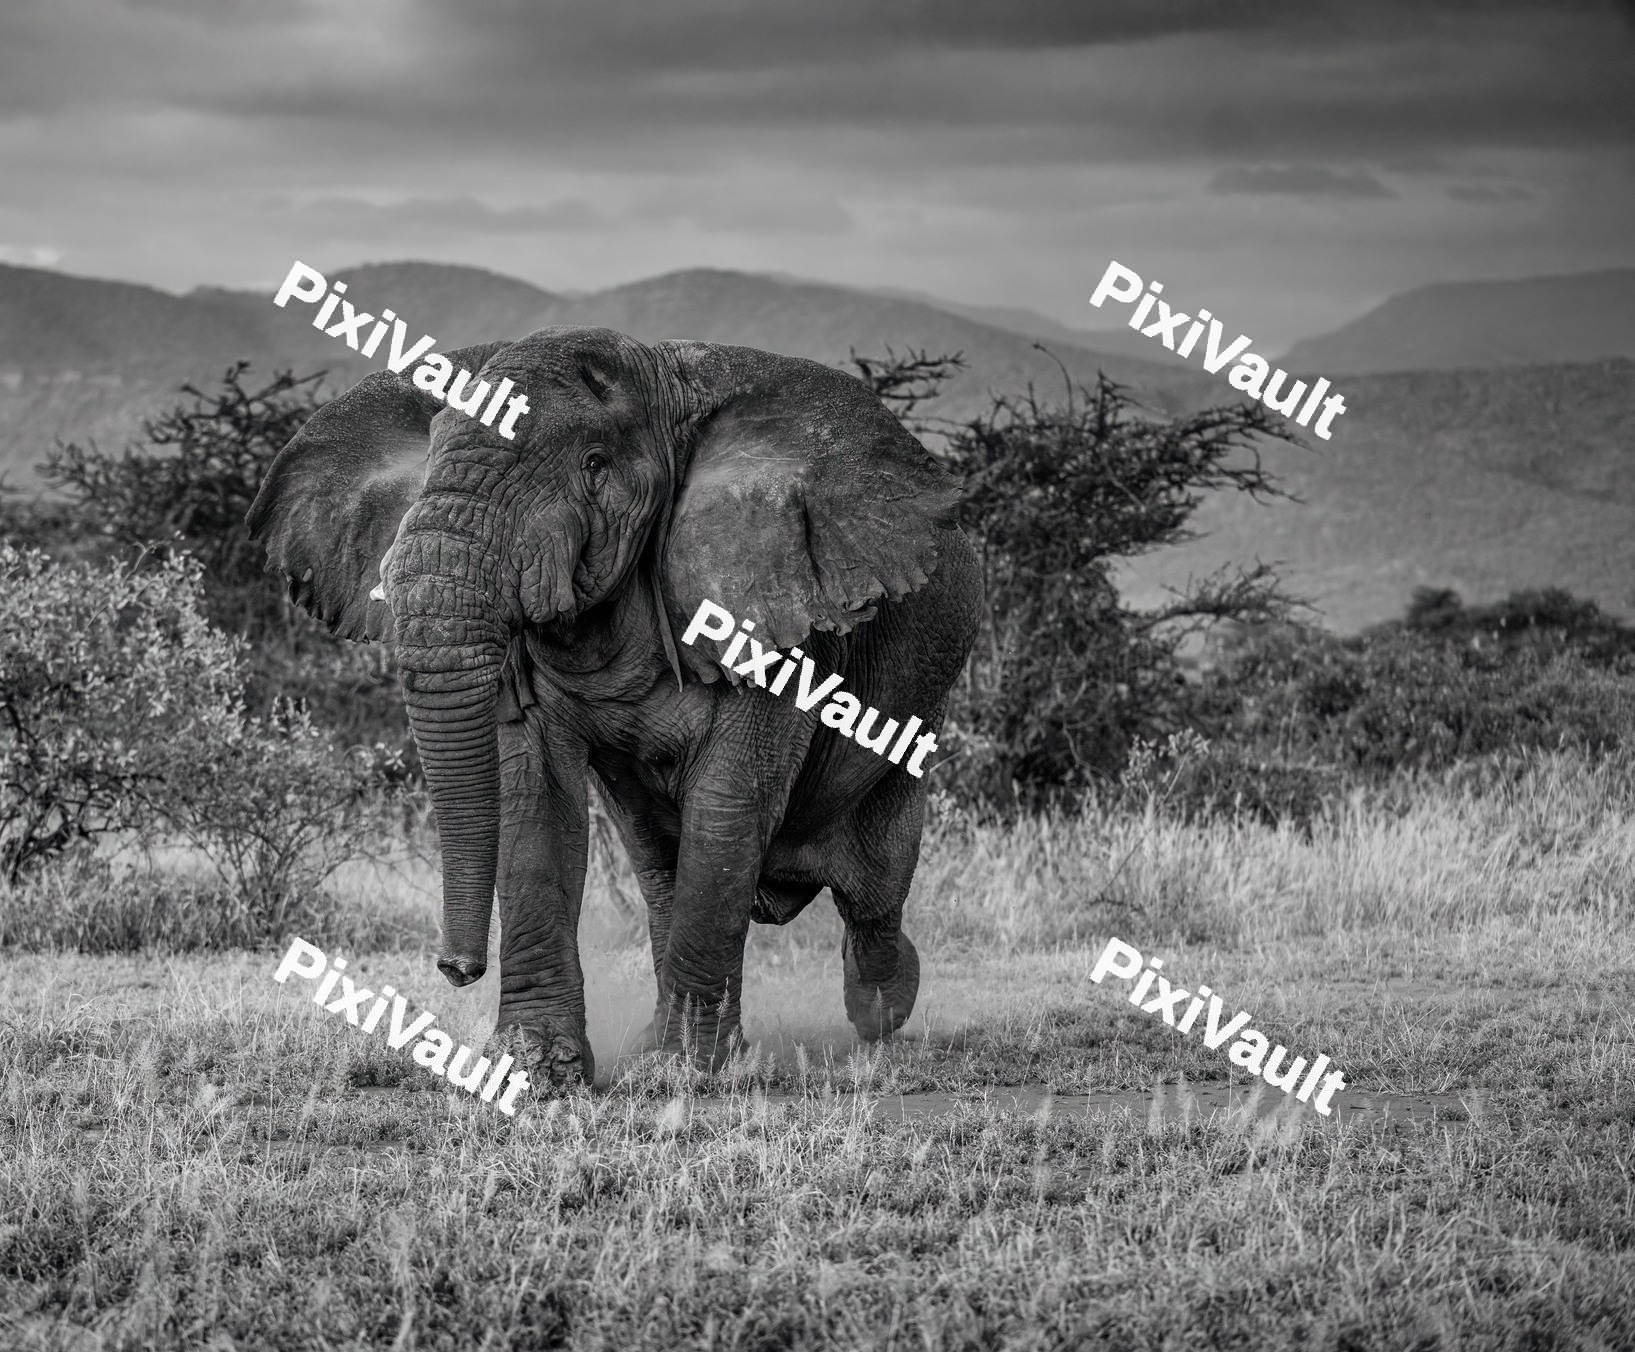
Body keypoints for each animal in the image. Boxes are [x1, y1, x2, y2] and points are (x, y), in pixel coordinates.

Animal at [246, 326, 983, 1087]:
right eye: (431, 455)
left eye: (594, 464)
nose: (454, 969)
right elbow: (534, 796)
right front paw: (531, 1071)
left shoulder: (773, 605)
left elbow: (730, 799)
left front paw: (678, 1075)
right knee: (663, 869)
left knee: (874, 892)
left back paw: (879, 1009)